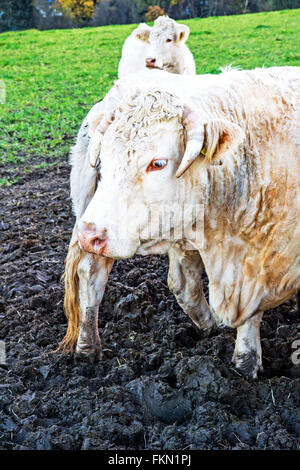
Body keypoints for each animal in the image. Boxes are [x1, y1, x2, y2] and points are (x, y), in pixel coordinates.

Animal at [63, 68, 300, 380]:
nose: (89, 234)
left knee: (97, 277)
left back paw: (88, 349)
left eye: (158, 163)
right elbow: (251, 315)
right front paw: (245, 364)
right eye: (103, 160)